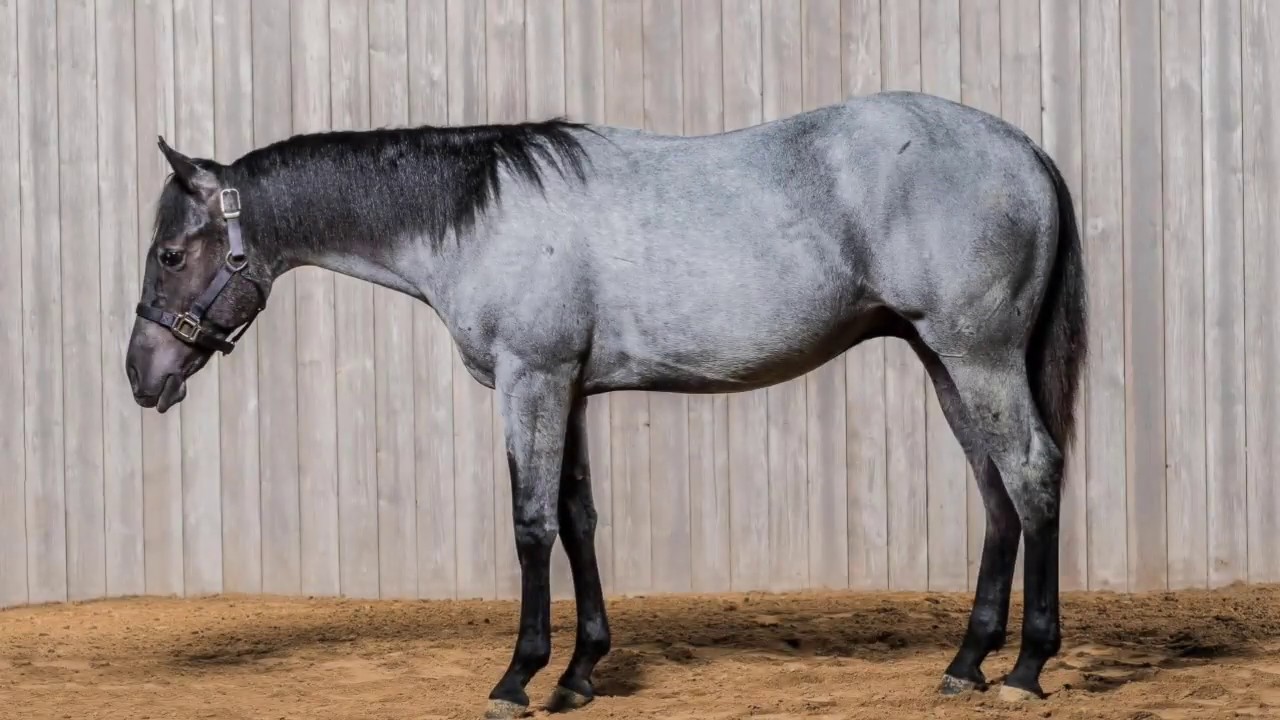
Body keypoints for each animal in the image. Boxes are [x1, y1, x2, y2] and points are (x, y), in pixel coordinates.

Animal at [125, 89, 1086, 718]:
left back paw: (1026, 668)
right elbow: (579, 518)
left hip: (977, 355)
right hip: (943, 362)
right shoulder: (573, 388)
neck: (480, 217)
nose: (141, 375)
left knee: (1034, 475)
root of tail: (1026, 149)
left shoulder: (532, 379)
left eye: (169, 254)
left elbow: (531, 524)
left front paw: (519, 678)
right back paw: (966, 663)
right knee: (997, 494)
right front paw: (581, 673)